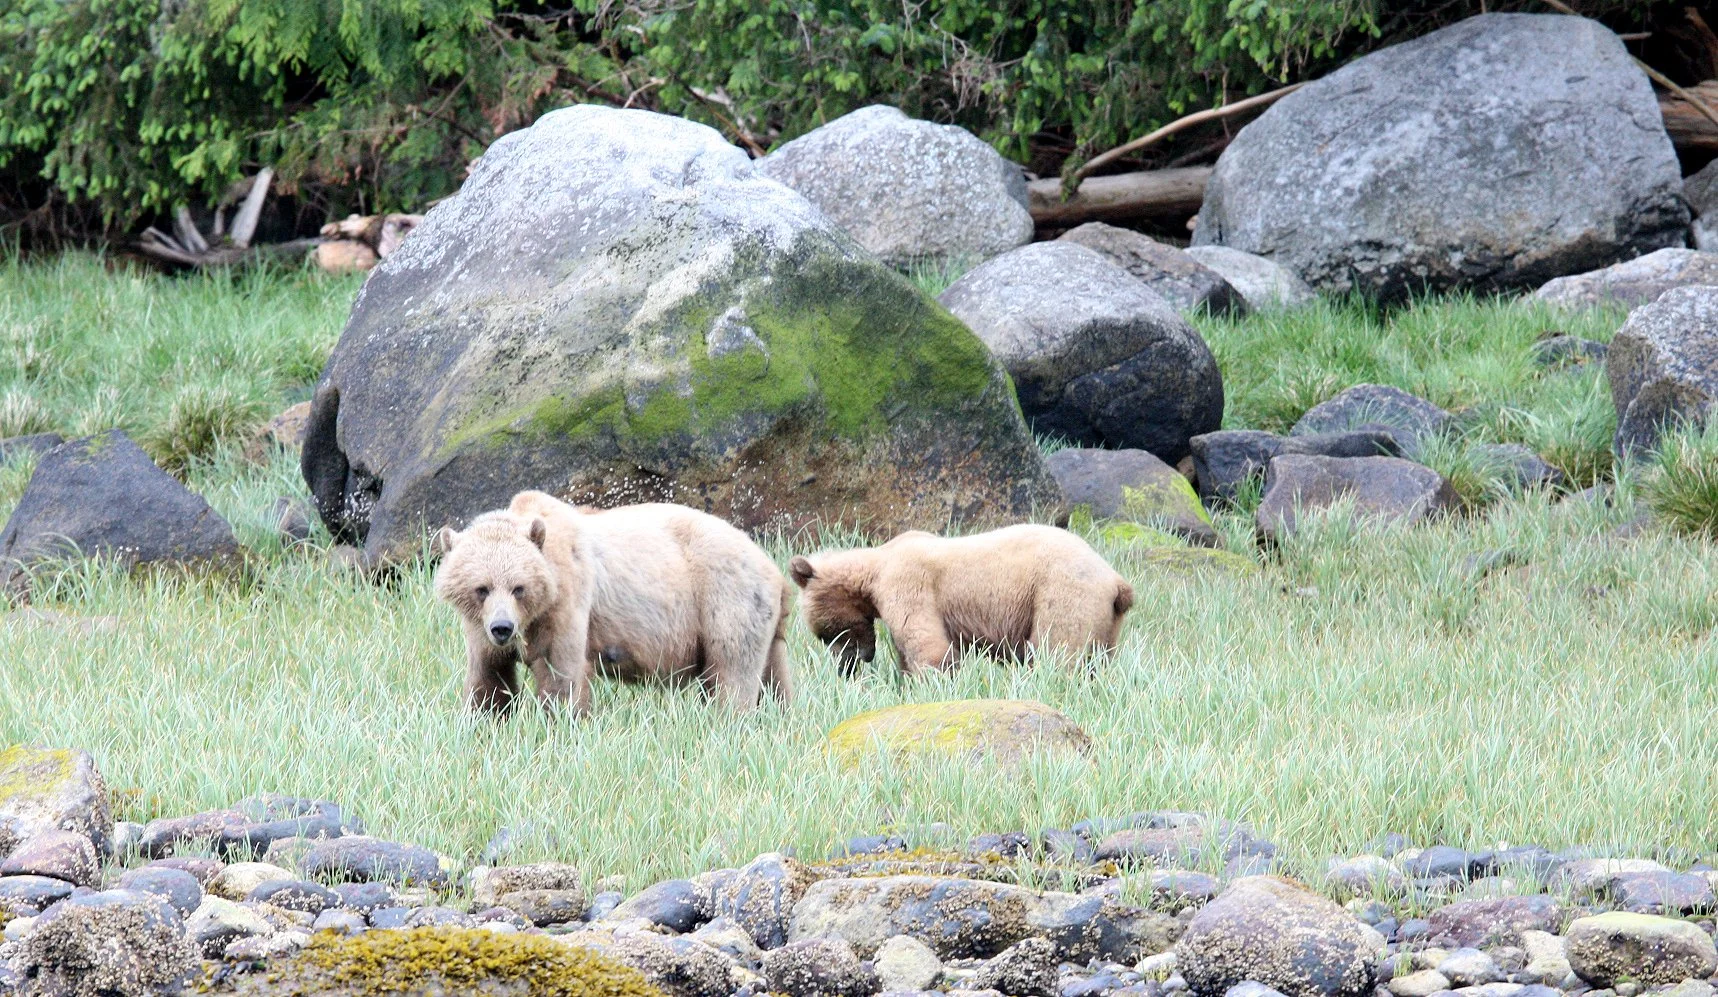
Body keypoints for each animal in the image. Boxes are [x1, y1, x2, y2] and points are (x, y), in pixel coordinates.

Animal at [433, 490, 791, 716]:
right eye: (482, 588)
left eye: (518, 588)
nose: (503, 628)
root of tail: (773, 568)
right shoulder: (478, 626)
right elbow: (488, 675)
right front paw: (484, 720)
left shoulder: (567, 599)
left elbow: (561, 672)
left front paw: (560, 721)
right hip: (762, 618)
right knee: (774, 677)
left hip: (724, 596)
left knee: (731, 672)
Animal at [788, 524, 1133, 675]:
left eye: (828, 635)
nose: (847, 666)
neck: (874, 569)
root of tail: (1115, 580)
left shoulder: (910, 582)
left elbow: (927, 645)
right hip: (1107, 621)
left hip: (1061, 591)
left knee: (1057, 647)